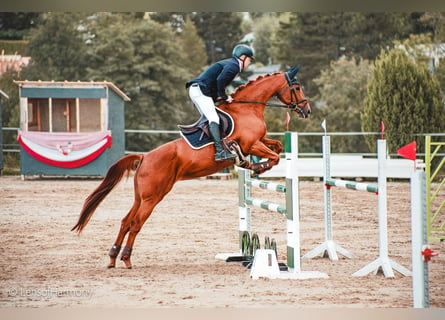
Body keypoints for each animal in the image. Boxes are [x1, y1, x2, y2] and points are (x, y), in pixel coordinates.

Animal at [72, 66, 308, 268]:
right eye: (297, 88)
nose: (306, 110)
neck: (247, 108)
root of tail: (145, 156)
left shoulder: (259, 141)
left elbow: (277, 146)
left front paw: (252, 164)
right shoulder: (252, 143)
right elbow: (274, 156)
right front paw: (257, 166)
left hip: (141, 197)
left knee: (125, 221)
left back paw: (113, 258)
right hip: (153, 197)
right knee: (136, 223)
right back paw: (127, 259)